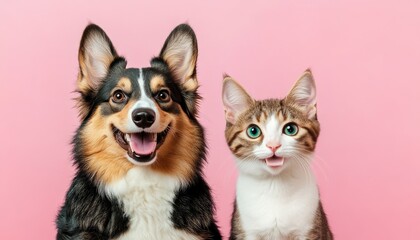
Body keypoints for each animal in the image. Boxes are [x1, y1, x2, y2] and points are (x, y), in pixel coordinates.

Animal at [221, 70, 334, 240]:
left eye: (290, 129)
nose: (273, 145)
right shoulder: (245, 231)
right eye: (253, 131)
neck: (274, 186)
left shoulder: (310, 229)